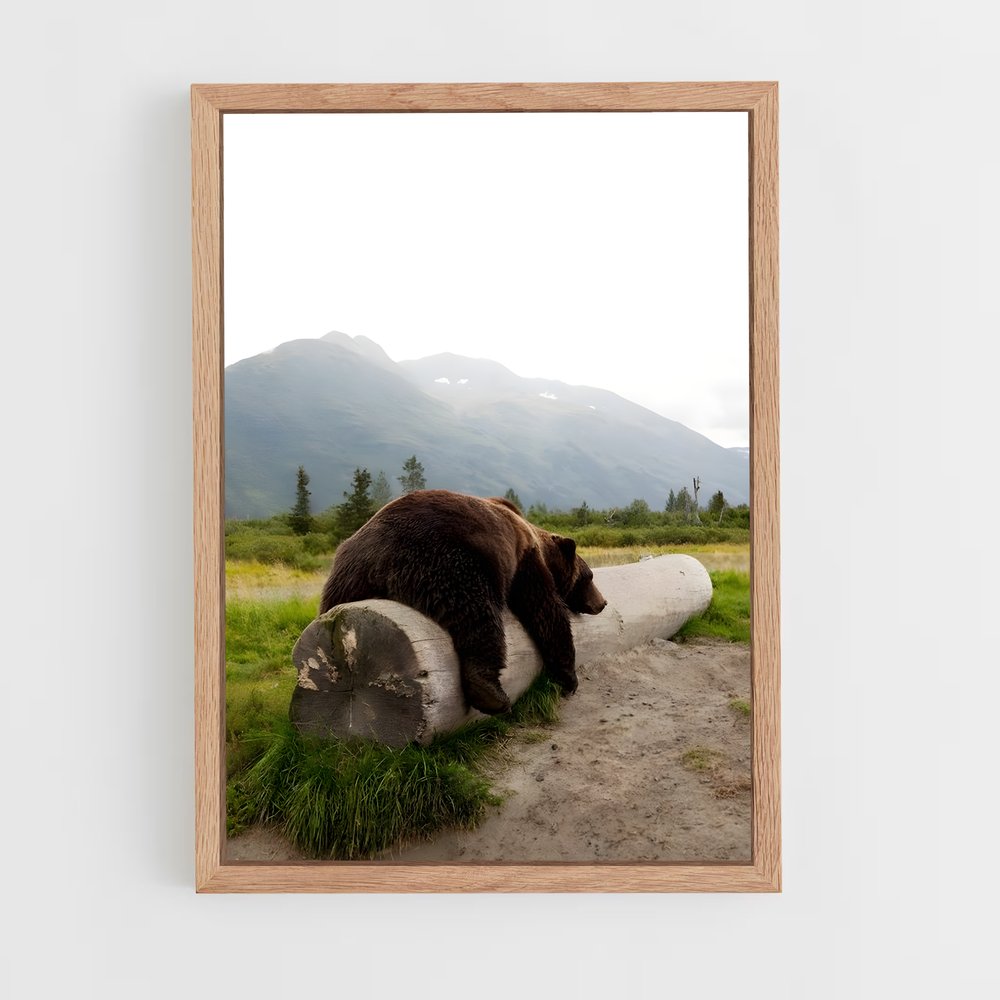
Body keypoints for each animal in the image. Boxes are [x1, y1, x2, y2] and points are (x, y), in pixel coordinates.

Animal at [318, 489, 607, 715]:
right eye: (589, 576)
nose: (602, 602)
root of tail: (377, 560)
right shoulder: (524, 560)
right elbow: (545, 610)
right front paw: (569, 678)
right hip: (449, 559)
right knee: (478, 614)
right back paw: (492, 695)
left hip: (344, 581)